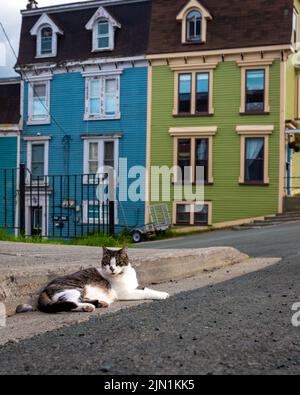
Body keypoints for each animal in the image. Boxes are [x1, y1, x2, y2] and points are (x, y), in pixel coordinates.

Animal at [37, 248, 169, 316]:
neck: (124, 274)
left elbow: (147, 289)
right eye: (107, 263)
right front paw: (162, 295)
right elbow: (145, 293)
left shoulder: (135, 286)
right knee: (70, 303)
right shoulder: (126, 293)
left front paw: (162, 292)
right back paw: (88, 307)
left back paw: (100, 303)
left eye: (118, 263)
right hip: (75, 288)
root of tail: (45, 288)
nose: (112, 268)